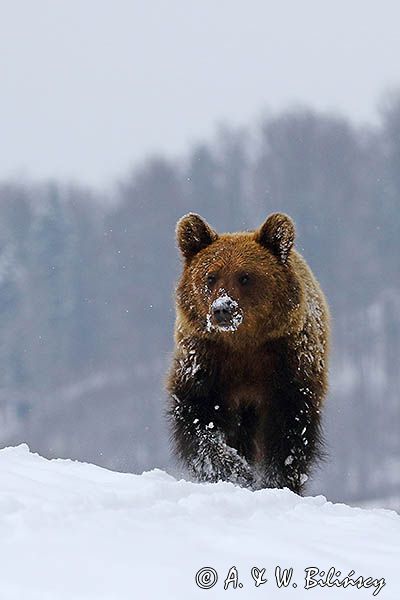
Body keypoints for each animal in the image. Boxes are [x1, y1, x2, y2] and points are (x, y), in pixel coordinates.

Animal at [167, 211, 330, 492]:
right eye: (210, 276)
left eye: (245, 276)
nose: (222, 309)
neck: (244, 343)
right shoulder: (206, 361)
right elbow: (198, 418)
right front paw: (235, 470)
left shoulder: (288, 363)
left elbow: (289, 433)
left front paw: (276, 481)